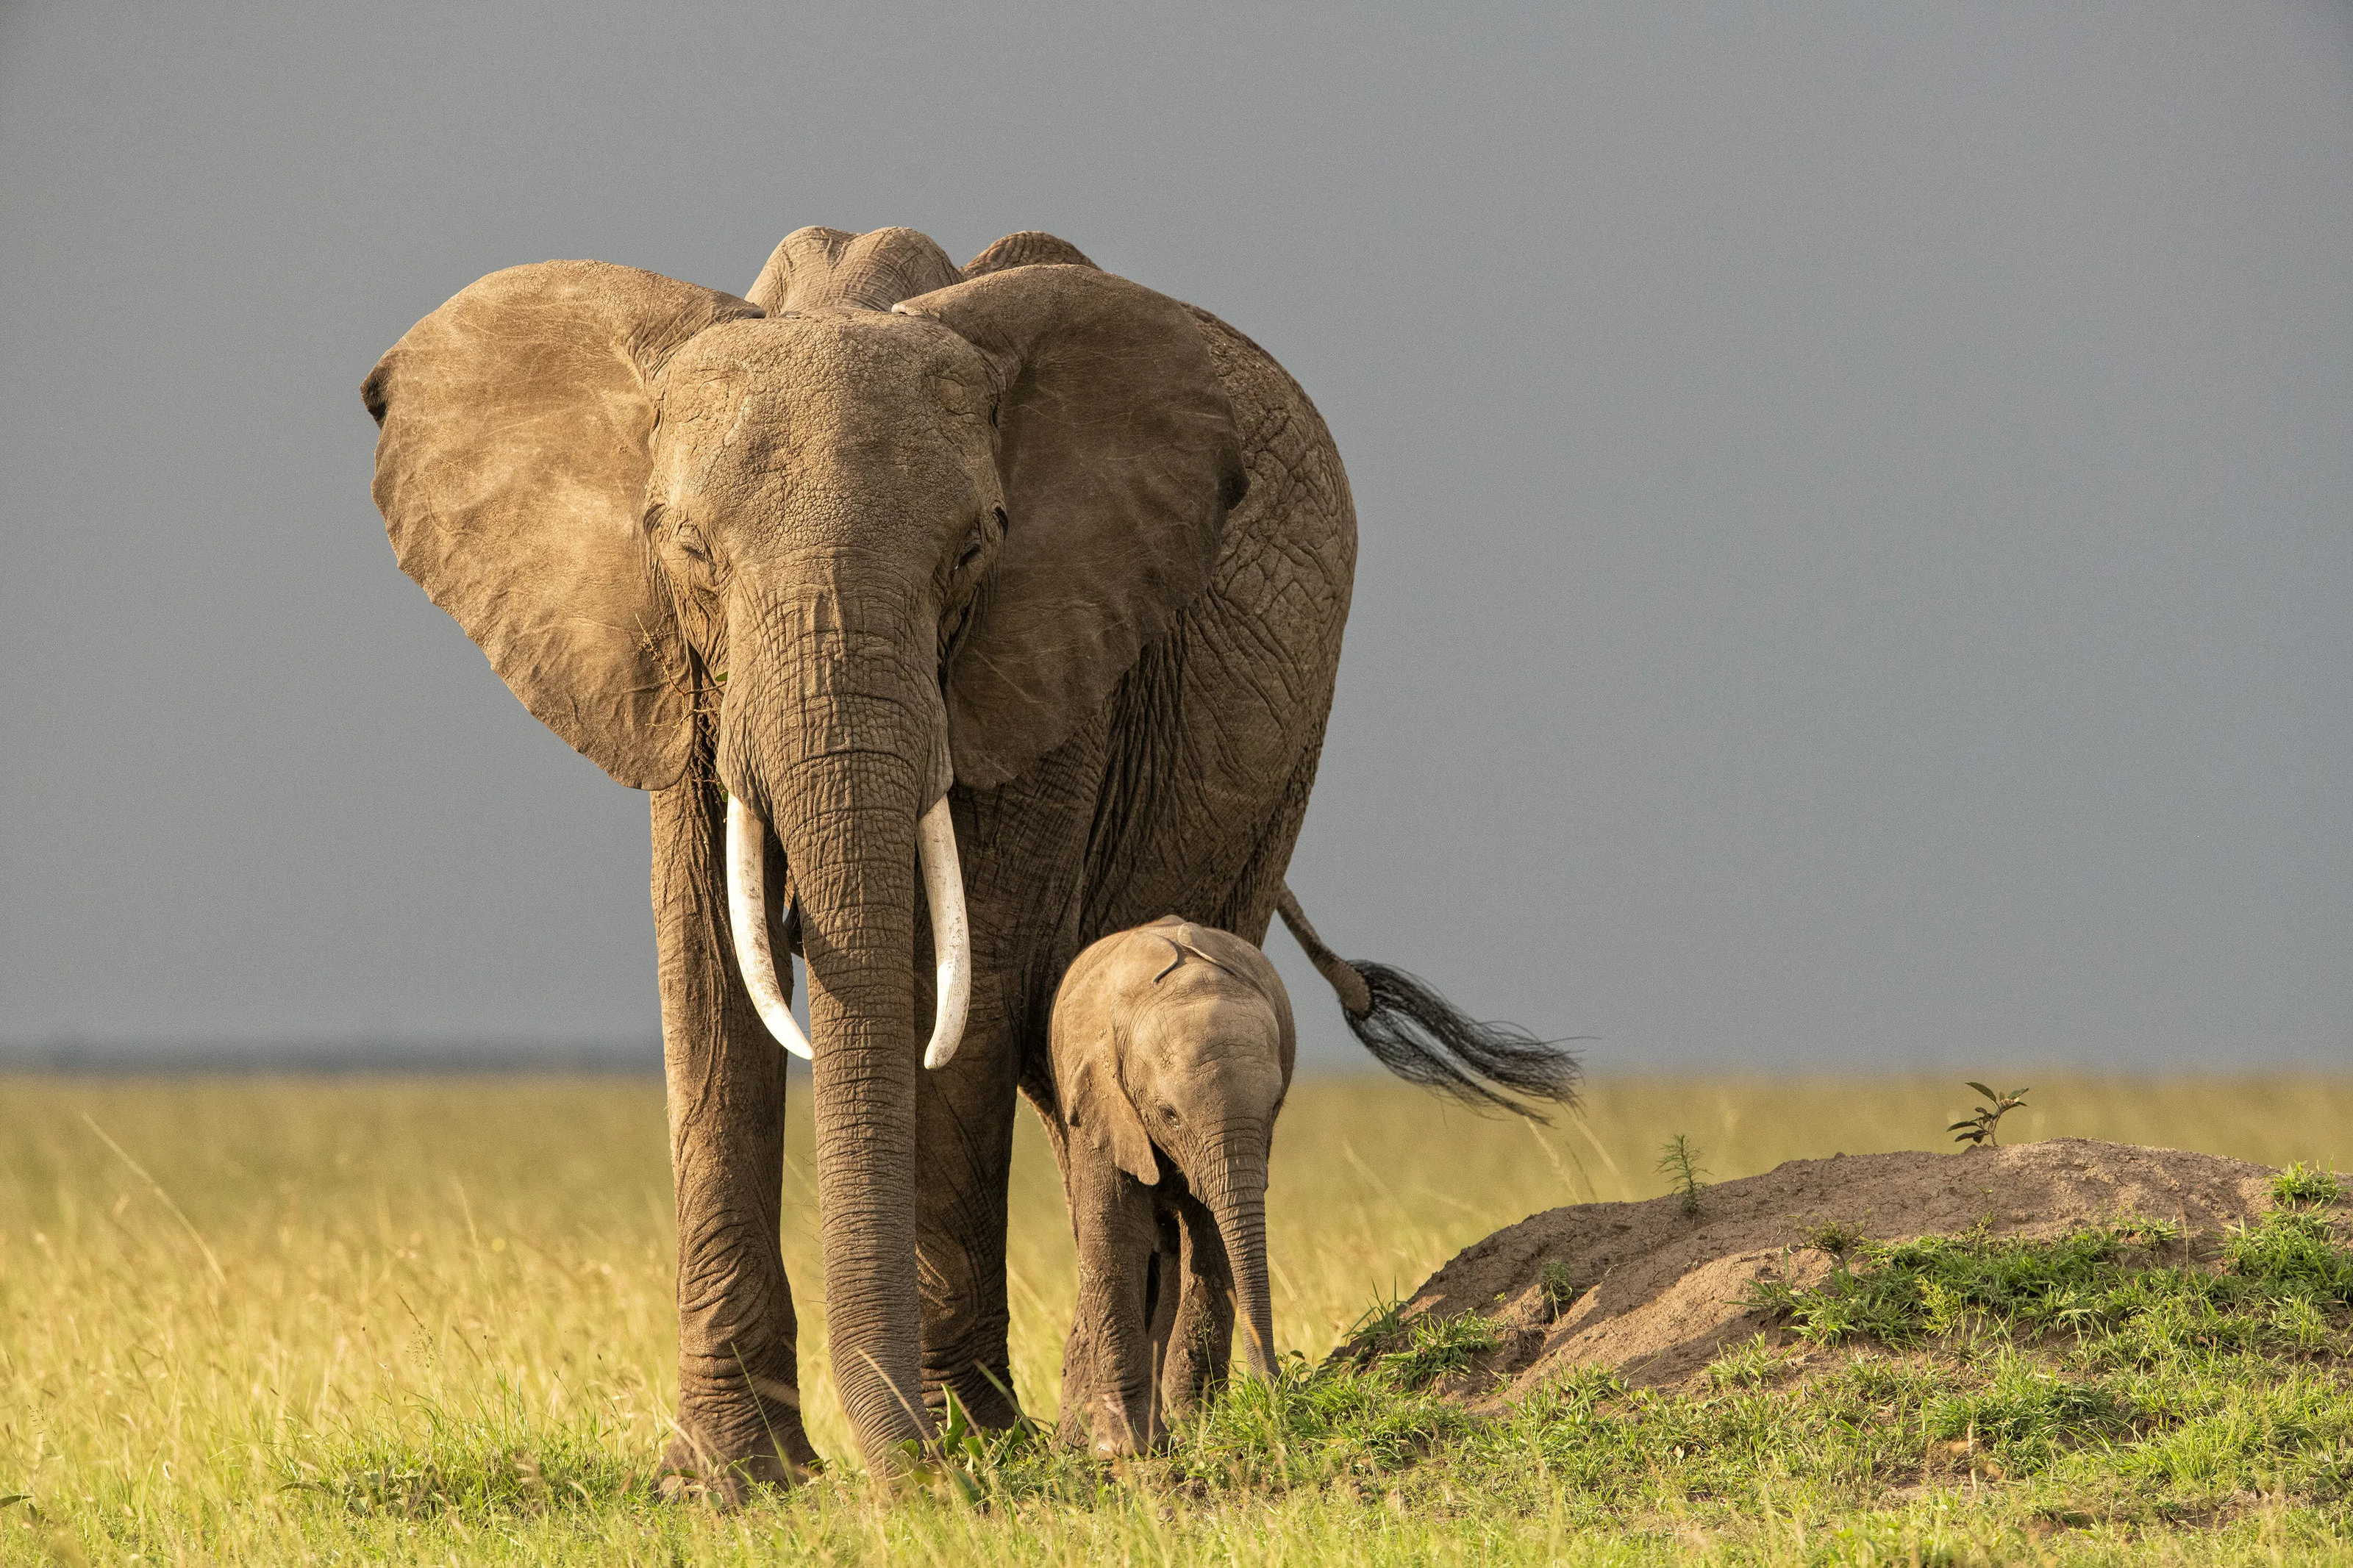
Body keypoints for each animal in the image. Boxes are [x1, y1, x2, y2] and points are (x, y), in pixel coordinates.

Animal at [1047, 917, 1296, 1455]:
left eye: (1274, 1106)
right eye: (1169, 1115)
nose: (1274, 1389)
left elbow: (1213, 1235)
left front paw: (1197, 1427)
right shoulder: (1101, 1098)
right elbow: (1116, 1235)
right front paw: (1125, 1448)